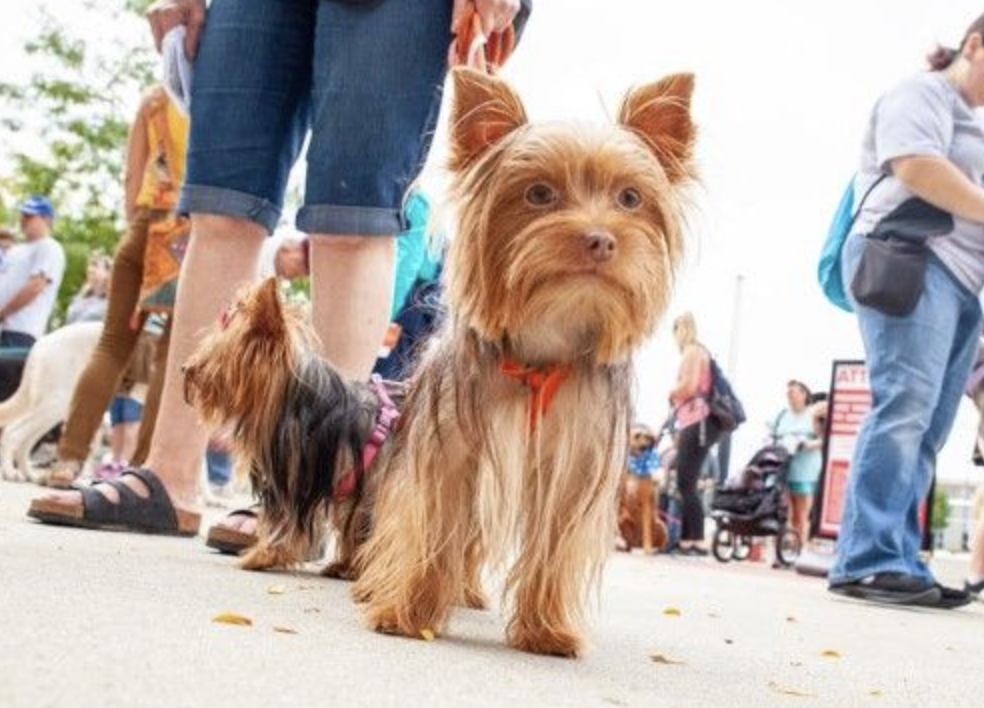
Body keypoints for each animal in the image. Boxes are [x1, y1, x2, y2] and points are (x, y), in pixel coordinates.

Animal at [0, 321, 102, 482]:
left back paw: (30, 474)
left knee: (25, 442)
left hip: (54, 409)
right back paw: (10, 472)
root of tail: (42, 342)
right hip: (56, 405)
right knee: (12, 432)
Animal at [183, 66, 697, 658]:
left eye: (630, 198)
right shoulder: (448, 452)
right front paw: (406, 612)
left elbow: (552, 542)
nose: (187, 374)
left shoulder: (571, 463)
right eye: (538, 194)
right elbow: (431, 521)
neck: (540, 351)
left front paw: (545, 629)